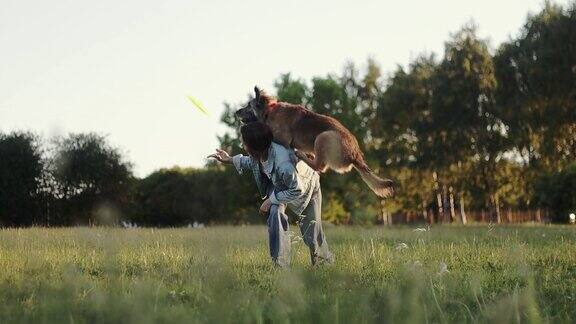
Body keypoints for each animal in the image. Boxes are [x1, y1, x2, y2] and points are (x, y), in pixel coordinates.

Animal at [235, 86, 396, 199]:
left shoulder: (281, 137)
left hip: (323, 137)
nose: (236, 112)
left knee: (320, 166)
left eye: (248, 105)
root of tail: (355, 155)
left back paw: (302, 155)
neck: (269, 111)